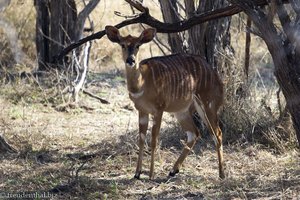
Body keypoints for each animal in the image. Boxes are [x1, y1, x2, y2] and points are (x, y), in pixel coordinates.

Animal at [105, 25, 225, 180]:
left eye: (138, 45)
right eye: (123, 45)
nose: (130, 60)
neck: (142, 83)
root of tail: (215, 74)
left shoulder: (159, 109)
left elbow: (154, 140)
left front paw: (150, 175)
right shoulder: (142, 111)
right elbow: (141, 139)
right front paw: (137, 173)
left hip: (208, 104)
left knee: (217, 133)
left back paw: (221, 174)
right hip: (182, 111)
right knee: (194, 133)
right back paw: (173, 170)